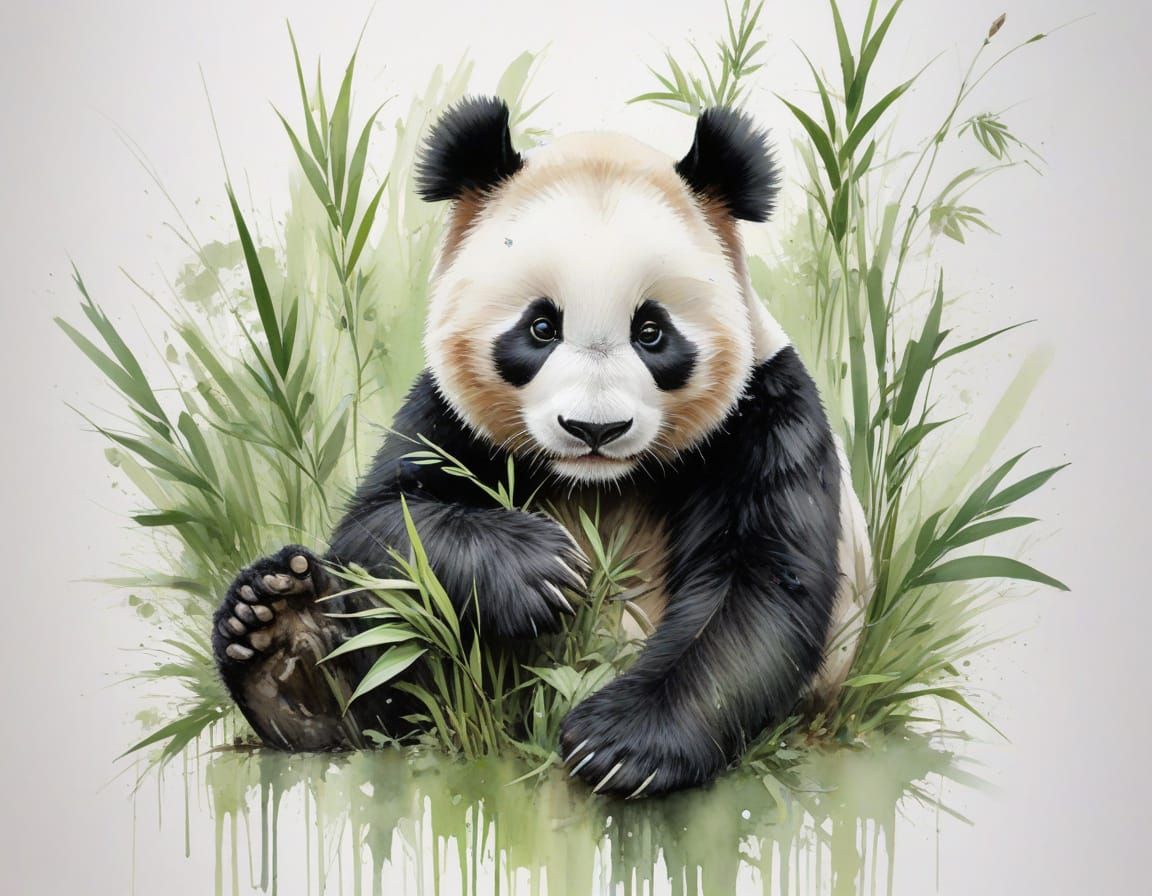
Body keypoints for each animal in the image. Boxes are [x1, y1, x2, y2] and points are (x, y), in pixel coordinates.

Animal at [211, 96, 872, 798]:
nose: (594, 429)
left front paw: (617, 745)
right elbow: (386, 521)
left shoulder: (762, 412)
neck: (600, 481)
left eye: (651, 331)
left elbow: (754, 585)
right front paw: (542, 570)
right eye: (540, 327)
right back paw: (284, 646)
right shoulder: (448, 414)